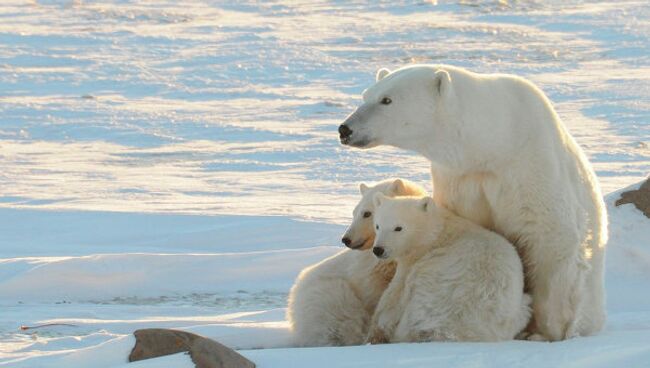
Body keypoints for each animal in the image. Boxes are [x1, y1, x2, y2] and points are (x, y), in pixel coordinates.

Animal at [368, 194, 528, 344]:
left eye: (398, 228)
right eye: (377, 226)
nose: (378, 249)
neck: (438, 232)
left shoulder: (417, 259)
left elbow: (394, 294)